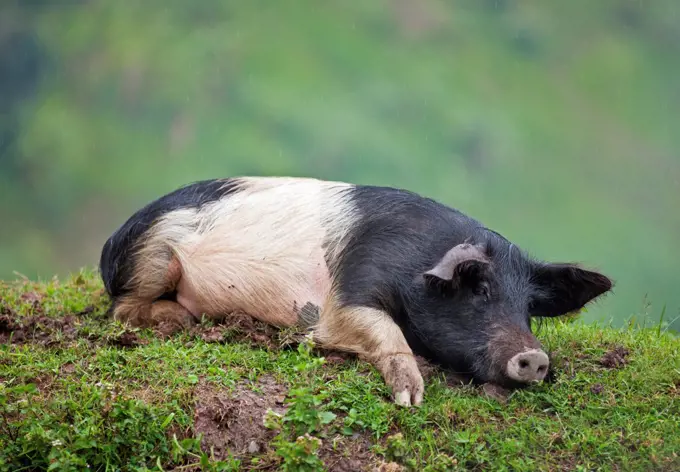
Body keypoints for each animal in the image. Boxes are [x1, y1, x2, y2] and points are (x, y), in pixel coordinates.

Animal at [98, 176, 612, 406]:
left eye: (529, 307)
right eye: (479, 289)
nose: (536, 357)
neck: (416, 264)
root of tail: (112, 239)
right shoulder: (351, 287)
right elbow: (371, 328)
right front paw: (411, 397)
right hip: (154, 254)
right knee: (121, 309)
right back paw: (180, 320)